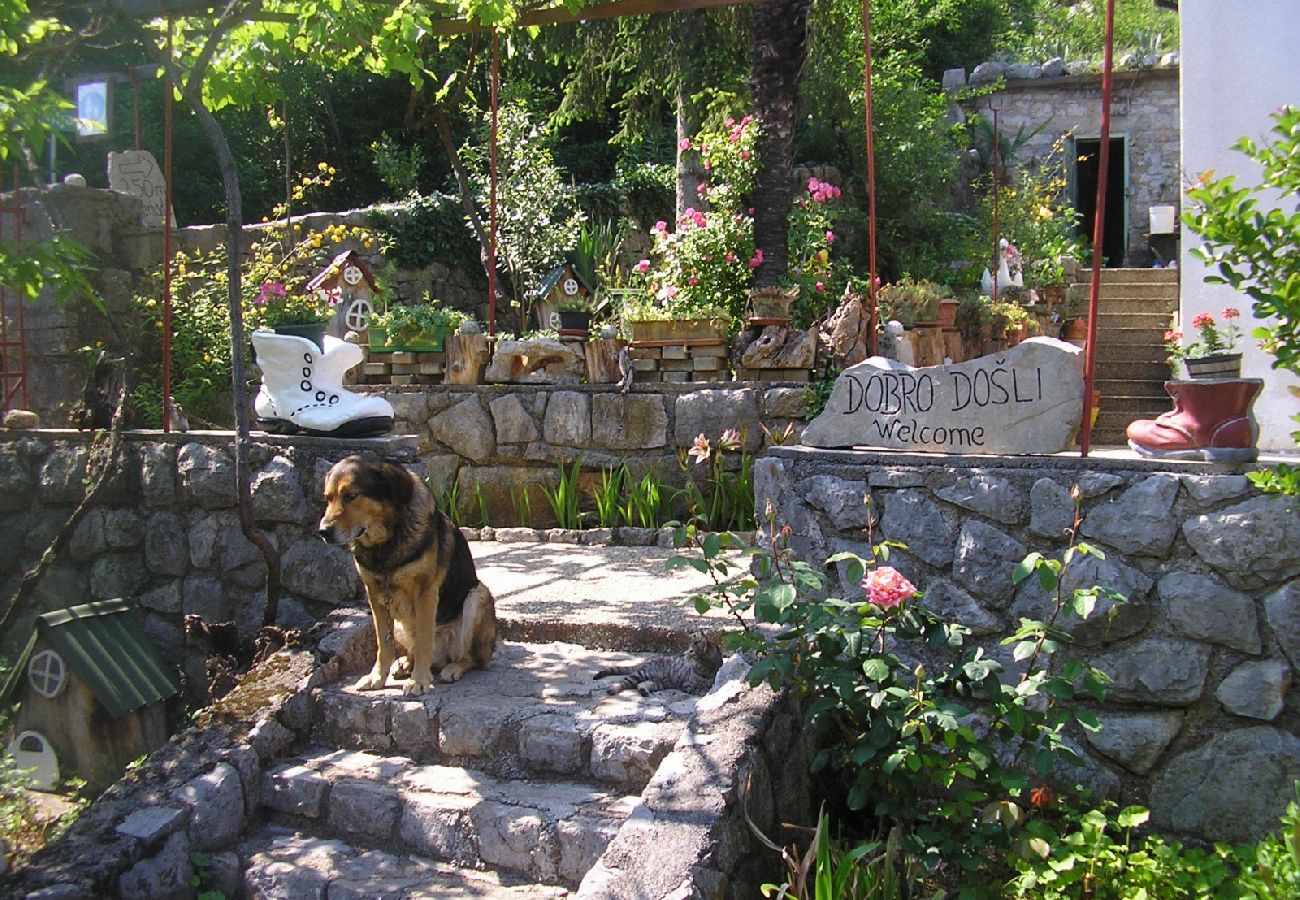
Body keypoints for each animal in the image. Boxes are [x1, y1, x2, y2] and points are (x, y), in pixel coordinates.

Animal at [317, 452, 493, 691]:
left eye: (351, 495)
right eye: (328, 498)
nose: (323, 531)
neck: (385, 544)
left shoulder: (426, 592)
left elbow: (424, 640)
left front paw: (419, 680)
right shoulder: (376, 595)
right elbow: (383, 645)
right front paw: (377, 676)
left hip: (477, 596)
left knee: (469, 657)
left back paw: (452, 668)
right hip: (401, 624)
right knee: (412, 650)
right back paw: (405, 664)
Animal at [595, 632, 728, 697]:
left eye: (691, 651)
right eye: (688, 649)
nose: (684, 653)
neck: (705, 670)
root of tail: (649, 660)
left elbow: (710, 687)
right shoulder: (687, 685)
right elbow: (699, 690)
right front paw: (705, 692)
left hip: (658, 683)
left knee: (642, 684)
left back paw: (643, 691)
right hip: (642, 674)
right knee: (624, 681)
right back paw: (613, 689)